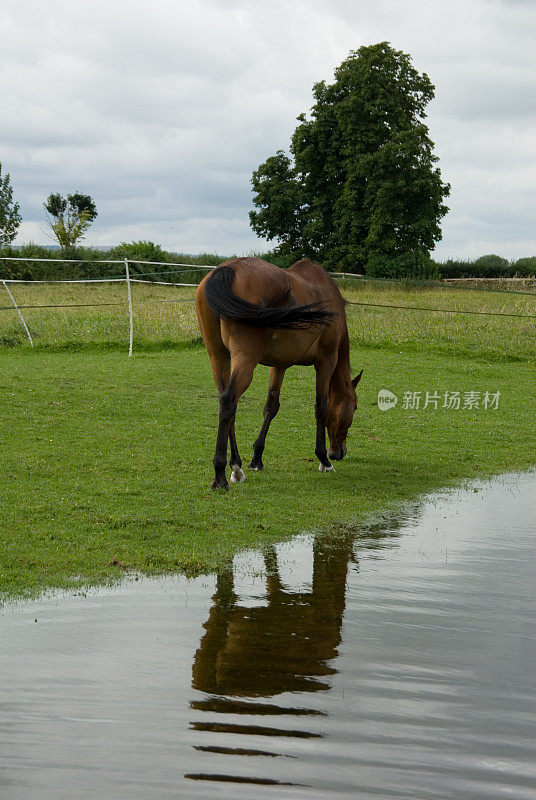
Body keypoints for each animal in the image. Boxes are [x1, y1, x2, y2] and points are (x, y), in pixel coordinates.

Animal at [195, 260, 362, 490]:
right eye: (354, 407)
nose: (338, 453)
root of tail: (228, 268)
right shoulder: (326, 362)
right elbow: (321, 408)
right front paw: (323, 460)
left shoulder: (279, 365)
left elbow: (271, 407)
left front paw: (256, 458)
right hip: (245, 360)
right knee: (229, 400)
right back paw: (221, 474)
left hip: (218, 357)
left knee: (228, 406)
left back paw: (237, 468)